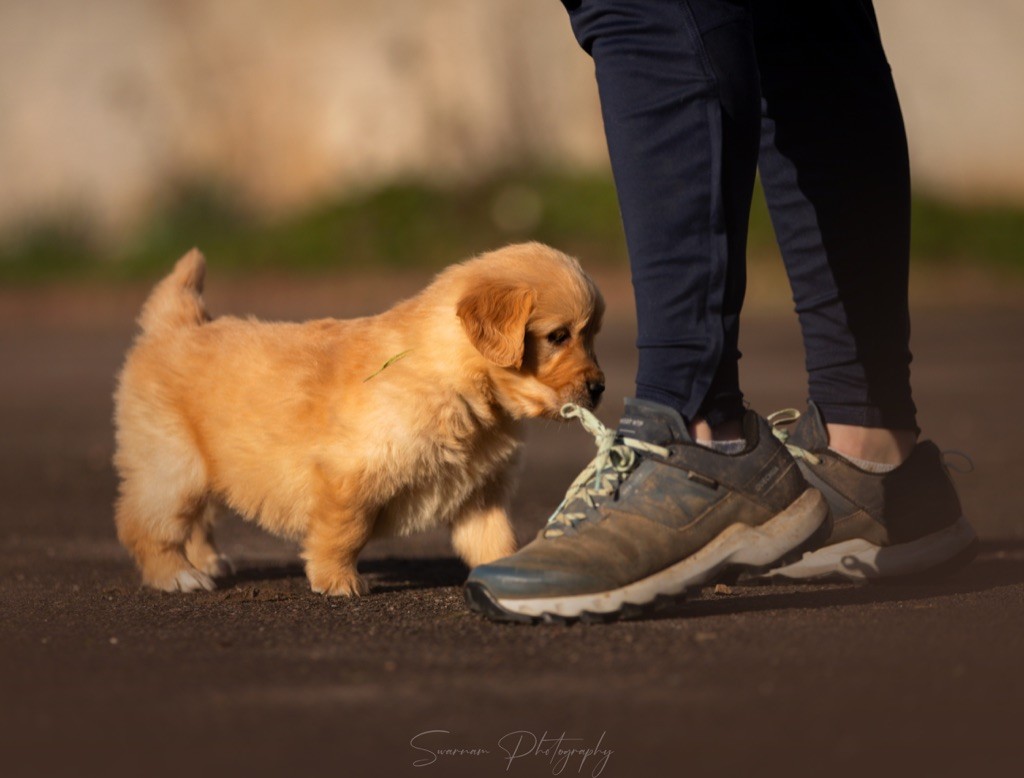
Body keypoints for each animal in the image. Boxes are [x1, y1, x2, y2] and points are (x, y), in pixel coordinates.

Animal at [113, 243, 602, 593]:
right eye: (558, 336)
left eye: (592, 335)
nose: (599, 387)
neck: (455, 383)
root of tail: (178, 324)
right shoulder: (350, 478)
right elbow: (344, 533)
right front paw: (337, 581)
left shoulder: (479, 490)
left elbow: (494, 539)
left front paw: (505, 573)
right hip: (173, 466)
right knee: (144, 524)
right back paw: (178, 575)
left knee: (197, 519)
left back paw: (208, 561)